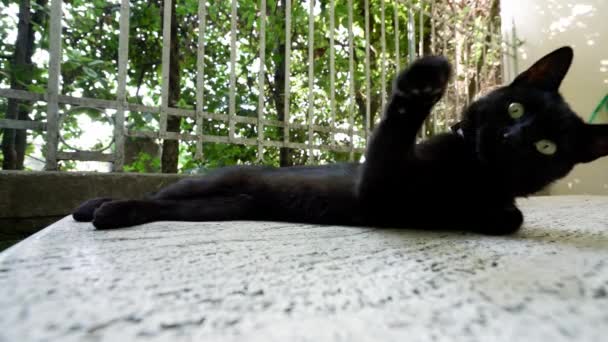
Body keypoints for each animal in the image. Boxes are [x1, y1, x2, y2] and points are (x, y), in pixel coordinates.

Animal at [72, 46, 608, 235]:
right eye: (516, 109)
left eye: (546, 148)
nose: (511, 136)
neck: (467, 170)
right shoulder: (377, 186)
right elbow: (393, 131)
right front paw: (424, 79)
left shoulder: (389, 199)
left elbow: (511, 217)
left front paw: (483, 214)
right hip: (206, 187)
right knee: (158, 192)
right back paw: (94, 205)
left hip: (220, 207)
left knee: (161, 206)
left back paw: (110, 213)